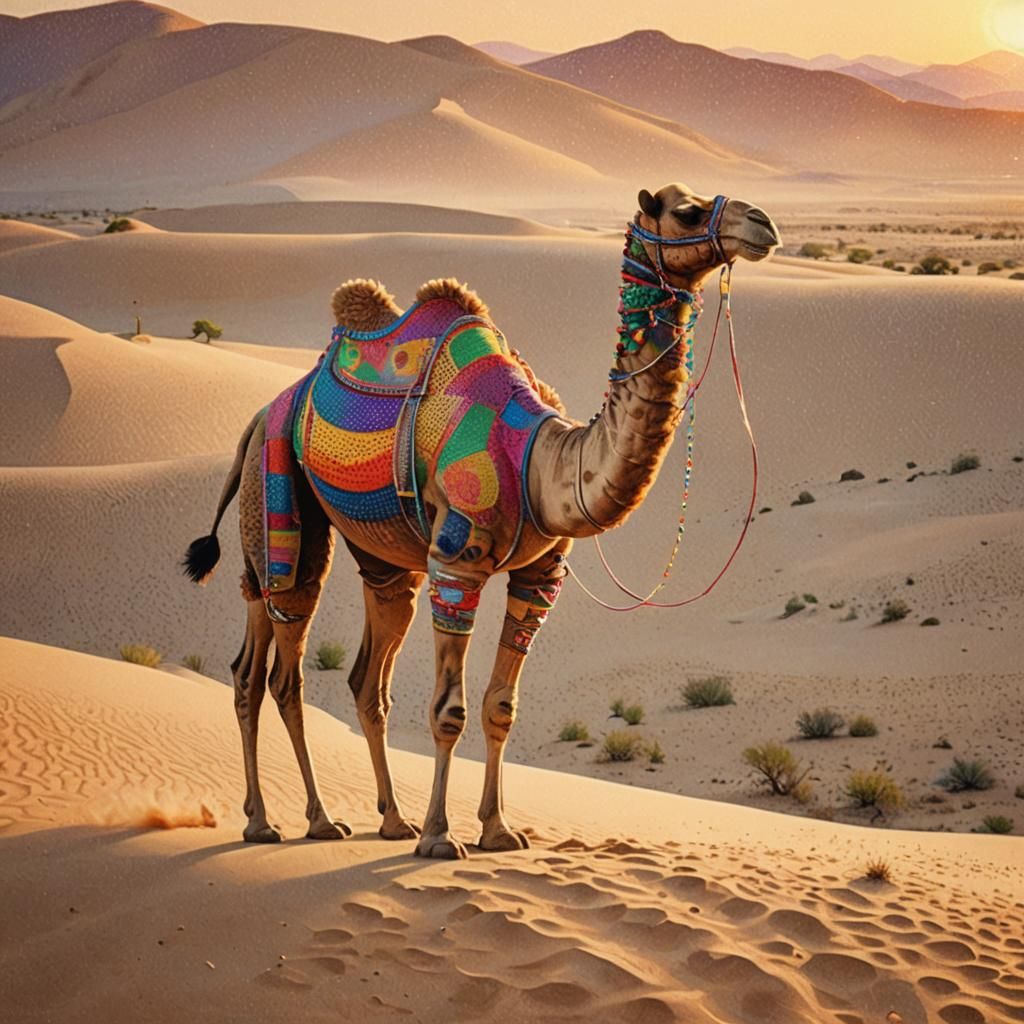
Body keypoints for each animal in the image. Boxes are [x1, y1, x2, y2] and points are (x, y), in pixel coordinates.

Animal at [184, 183, 780, 859]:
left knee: (336, 672)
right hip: (280, 497)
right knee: (281, 668)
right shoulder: (457, 567)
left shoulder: (540, 578)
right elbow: (450, 711)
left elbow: (501, 707)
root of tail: (261, 415)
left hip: (380, 560)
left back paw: (386, 820)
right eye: (685, 210)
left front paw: (496, 830)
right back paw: (298, 821)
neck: (540, 458)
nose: (762, 223)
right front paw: (442, 837)